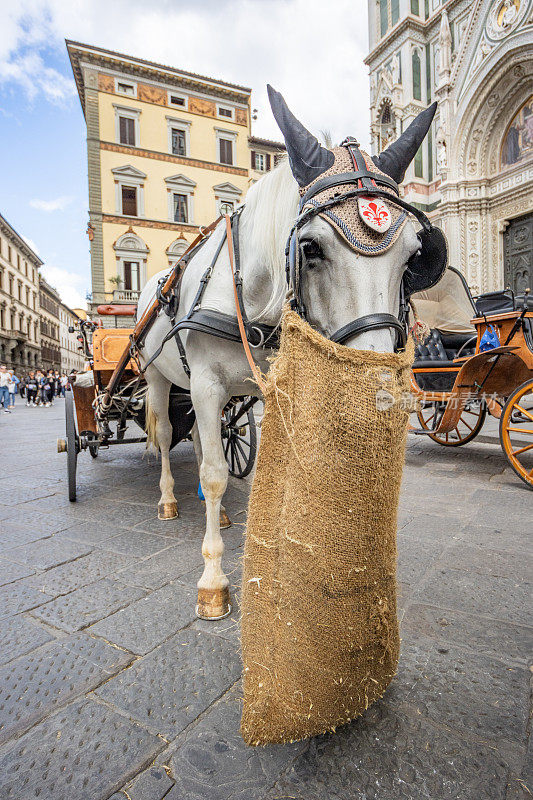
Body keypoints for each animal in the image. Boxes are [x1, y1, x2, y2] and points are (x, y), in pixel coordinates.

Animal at [137, 90, 436, 620]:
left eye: (414, 256)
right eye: (309, 248)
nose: (375, 402)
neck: (250, 295)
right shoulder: (207, 385)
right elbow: (216, 473)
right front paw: (214, 580)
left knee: (198, 436)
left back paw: (220, 514)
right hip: (161, 379)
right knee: (170, 432)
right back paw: (170, 500)